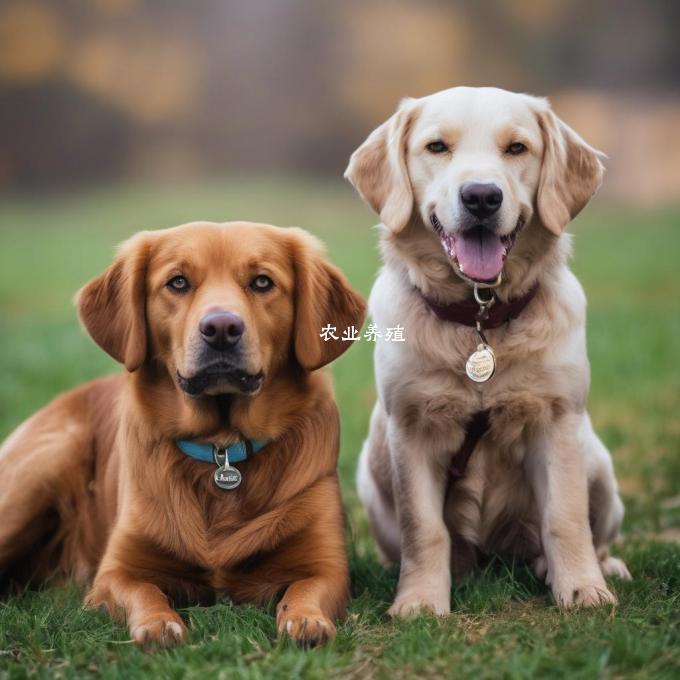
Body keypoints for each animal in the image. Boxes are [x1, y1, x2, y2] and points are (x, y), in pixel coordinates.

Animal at [0, 222, 366, 648]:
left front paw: (305, 619)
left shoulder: (327, 565)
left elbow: (305, 591)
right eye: (178, 282)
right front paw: (159, 623)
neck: (222, 449)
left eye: (262, 282)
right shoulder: (115, 572)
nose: (221, 328)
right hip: (42, 469)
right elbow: (143, 591)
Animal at [346, 85, 632, 616]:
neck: (480, 318)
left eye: (516, 148)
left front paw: (582, 588)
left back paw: (598, 566)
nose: (481, 195)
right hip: (370, 481)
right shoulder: (410, 428)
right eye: (437, 147)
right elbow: (425, 529)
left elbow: (565, 518)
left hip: (599, 464)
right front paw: (420, 601)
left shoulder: (558, 421)